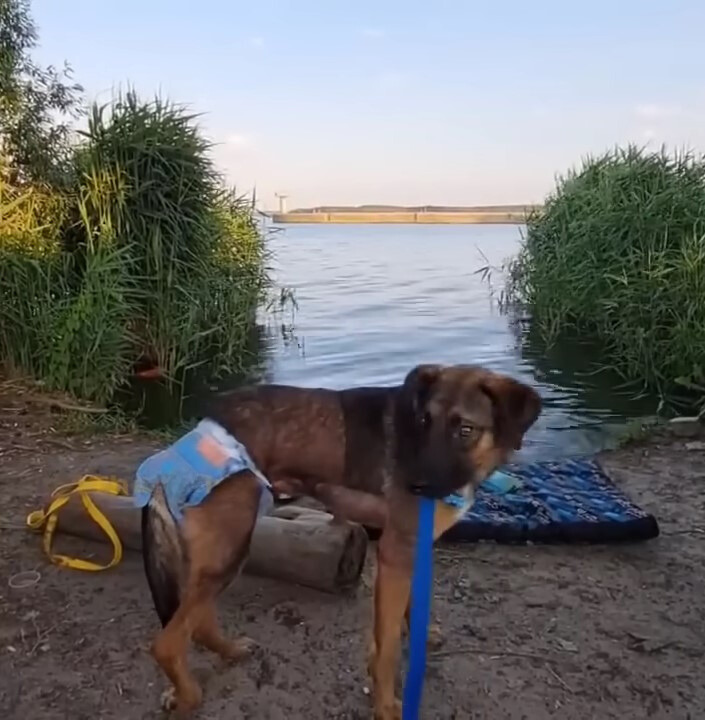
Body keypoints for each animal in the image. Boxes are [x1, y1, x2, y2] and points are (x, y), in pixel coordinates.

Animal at [140, 366, 540, 720]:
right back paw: (189, 695)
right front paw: (385, 707)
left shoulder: (409, 550)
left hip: (220, 553)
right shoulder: (396, 553)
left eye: (465, 430)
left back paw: (231, 652)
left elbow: (410, 610)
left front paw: (421, 638)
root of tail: (173, 455)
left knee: (199, 622)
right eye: (423, 423)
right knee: (168, 642)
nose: (415, 484)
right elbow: (387, 649)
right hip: (231, 547)